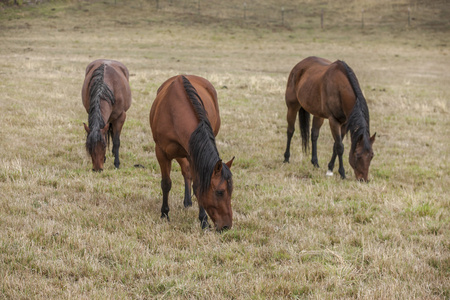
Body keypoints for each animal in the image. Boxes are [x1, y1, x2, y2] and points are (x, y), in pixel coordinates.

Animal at [150, 74, 236, 230]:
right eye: (220, 192)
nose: (226, 226)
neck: (175, 111)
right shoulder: (161, 152)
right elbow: (166, 183)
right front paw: (164, 214)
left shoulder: (194, 153)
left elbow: (197, 186)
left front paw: (203, 220)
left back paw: (188, 202)